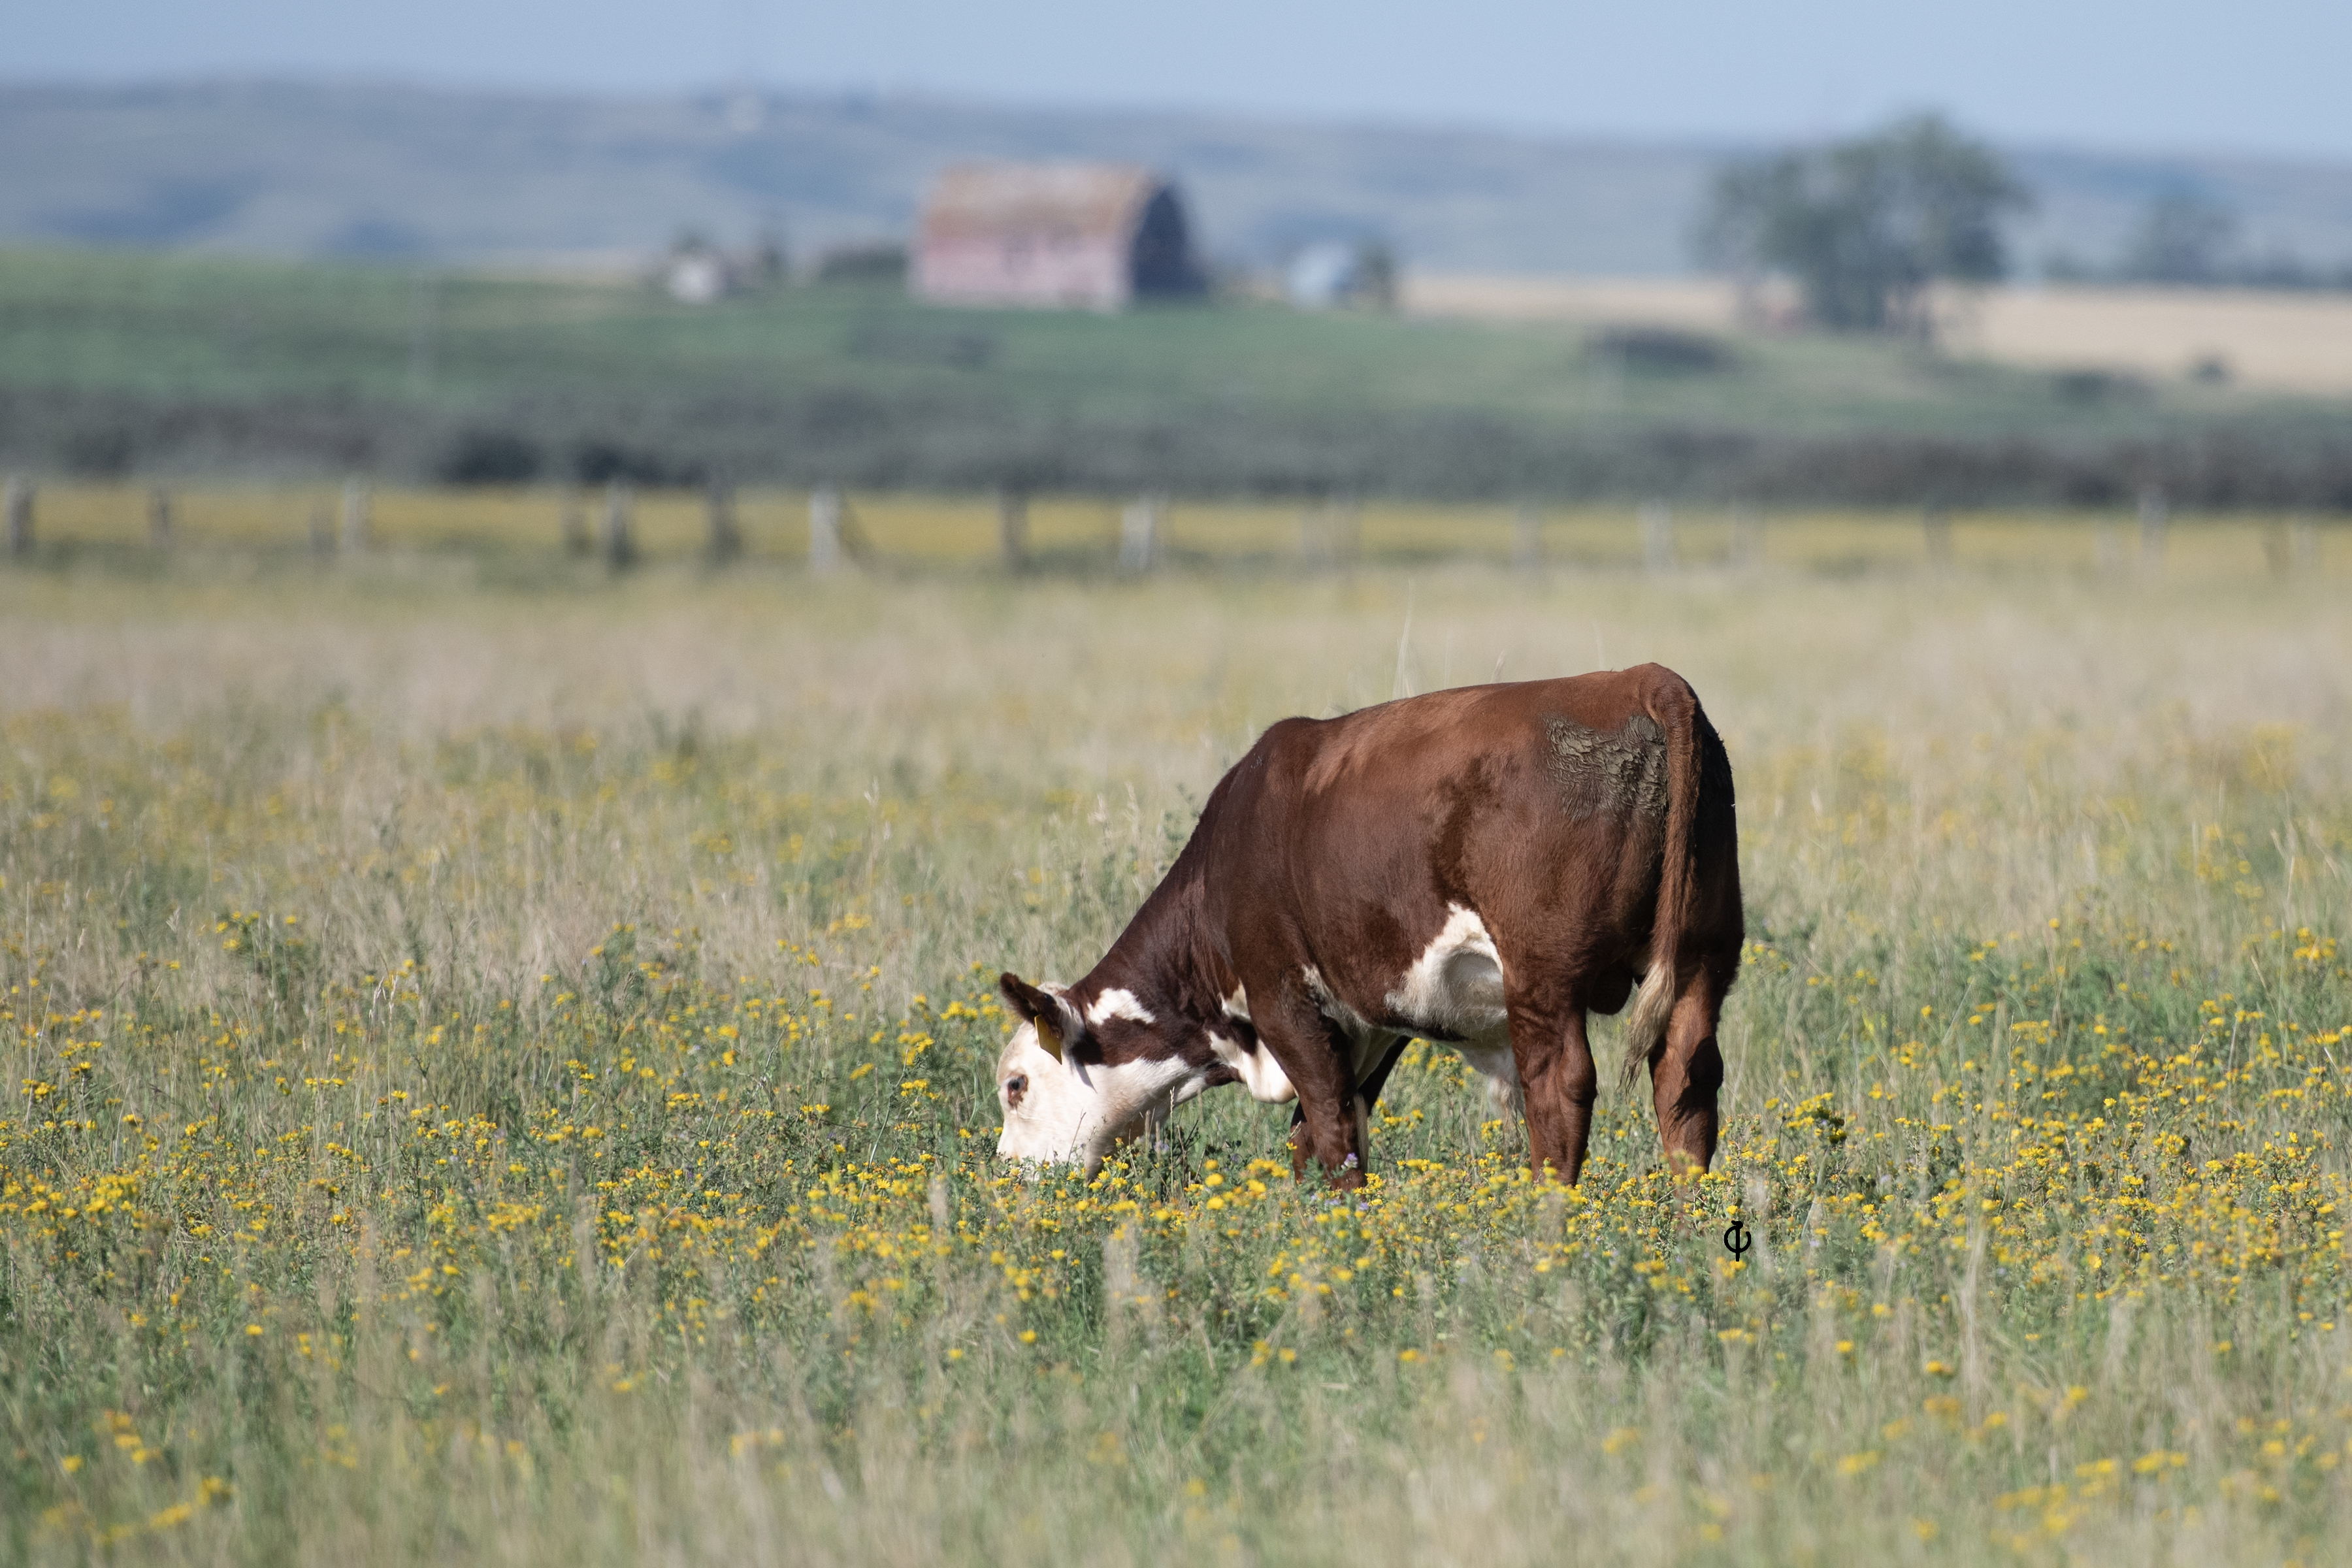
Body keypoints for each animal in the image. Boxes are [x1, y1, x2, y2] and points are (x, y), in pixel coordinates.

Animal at [993, 664, 1742, 1189]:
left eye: (1015, 1085)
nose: (1004, 1173)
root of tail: (1641, 679)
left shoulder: (1284, 997)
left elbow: (1328, 1126)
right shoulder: (1367, 1021)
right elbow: (1323, 1133)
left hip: (1541, 977)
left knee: (1559, 1091)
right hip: (1703, 956)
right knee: (1686, 1081)